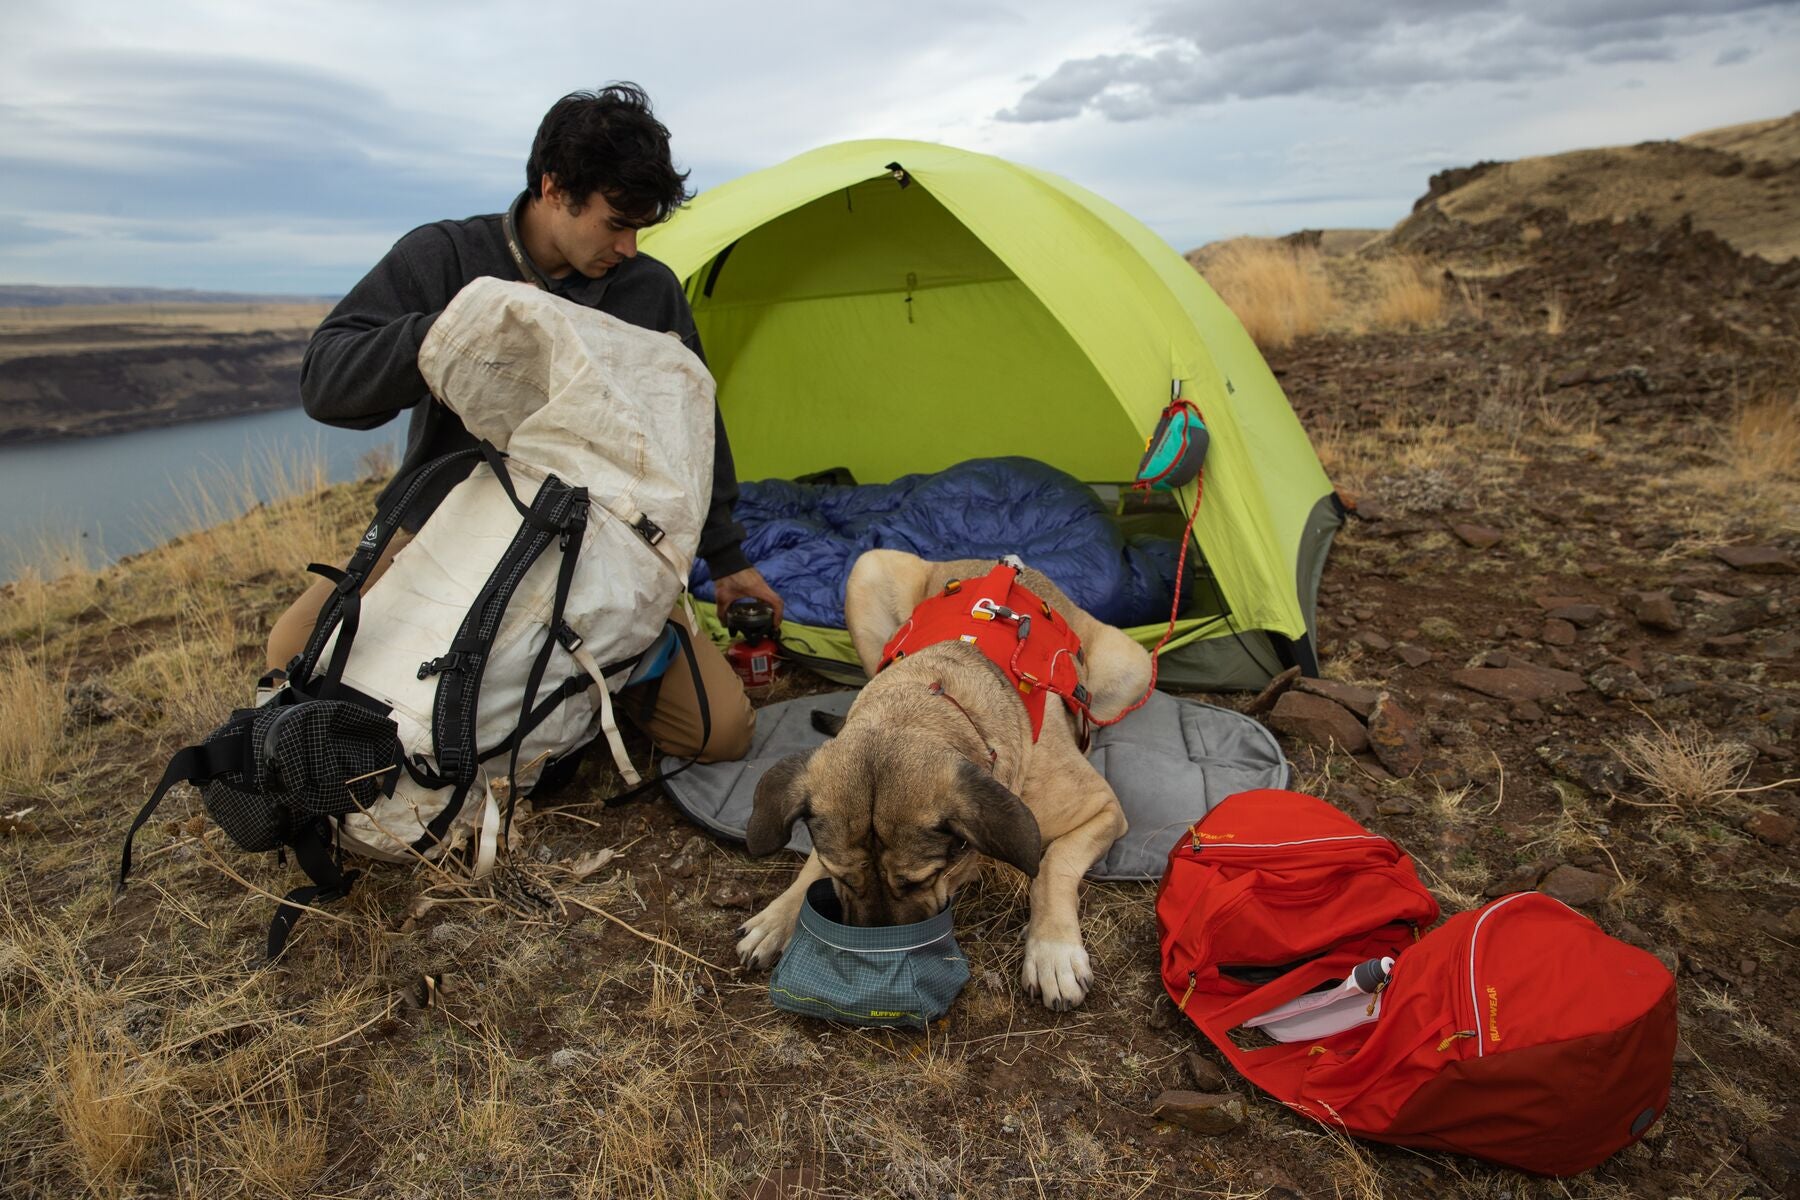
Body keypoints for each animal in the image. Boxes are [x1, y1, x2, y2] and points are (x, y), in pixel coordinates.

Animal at [734, 550, 1144, 1007]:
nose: (877, 953)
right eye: (842, 878)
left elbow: (1054, 864)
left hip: (1132, 666)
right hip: (867, 570)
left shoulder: (1103, 808)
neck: (935, 702)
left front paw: (1053, 950)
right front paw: (779, 916)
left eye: (921, 880)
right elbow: (810, 866)